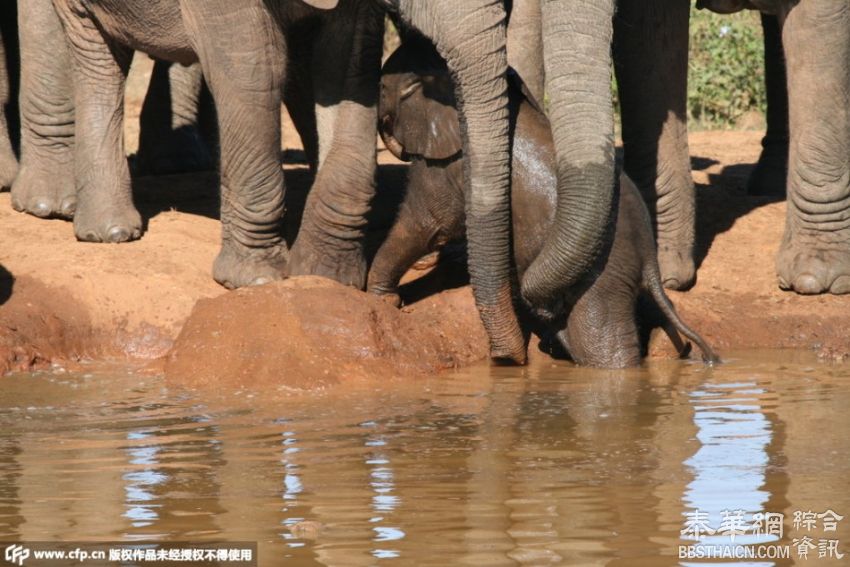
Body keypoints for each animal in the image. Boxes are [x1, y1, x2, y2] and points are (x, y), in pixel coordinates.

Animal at [366, 42, 716, 366]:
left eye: (381, 88)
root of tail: (649, 261)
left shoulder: (446, 164)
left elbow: (426, 224)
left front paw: (383, 298)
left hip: (601, 279)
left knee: (602, 342)